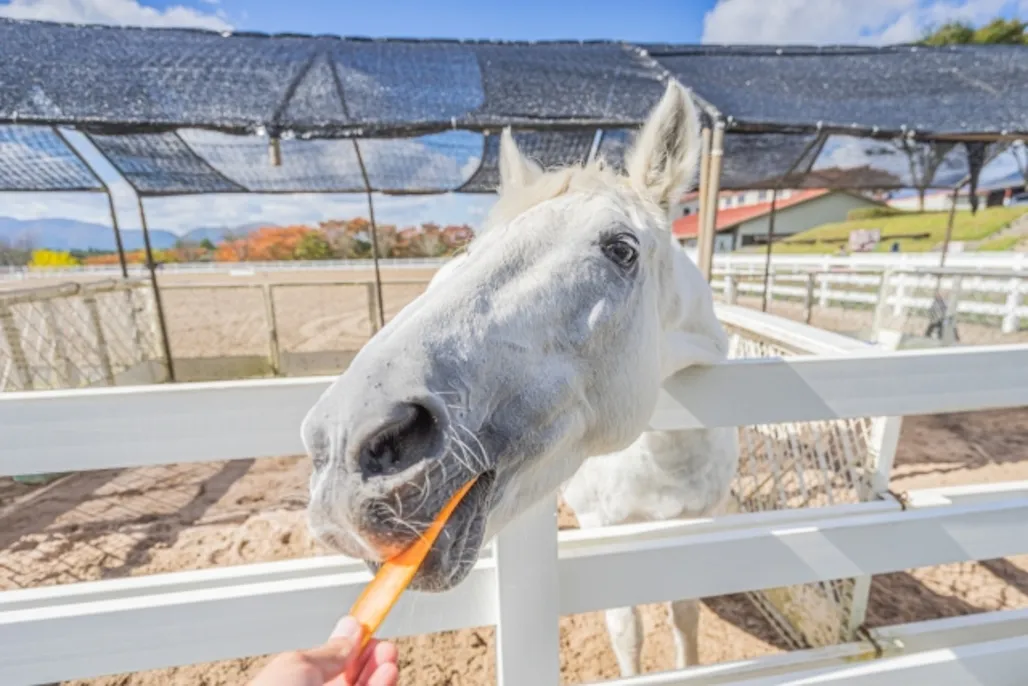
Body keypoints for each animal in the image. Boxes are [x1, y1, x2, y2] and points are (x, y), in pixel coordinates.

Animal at [302, 80, 740, 674]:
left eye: (621, 249)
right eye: (472, 251)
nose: (343, 444)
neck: (669, 459)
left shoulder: (703, 521)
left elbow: (685, 617)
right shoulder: (605, 528)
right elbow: (628, 632)